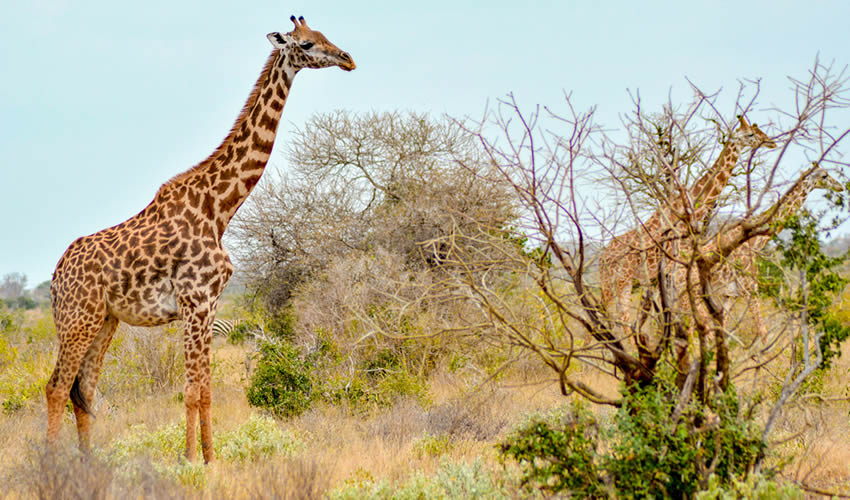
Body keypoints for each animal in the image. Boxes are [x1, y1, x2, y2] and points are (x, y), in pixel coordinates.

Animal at [46, 16, 355, 463]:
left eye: (325, 35)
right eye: (308, 44)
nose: (348, 58)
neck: (219, 208)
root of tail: (55, 276)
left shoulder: (210, 306)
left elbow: (206, 390)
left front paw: (210, 458)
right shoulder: (195, 302)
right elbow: (192, 391)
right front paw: (191, 460)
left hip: (104, 320)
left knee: (83, 389)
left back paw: (87, 464)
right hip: (77, 318)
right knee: (56, 388)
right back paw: (49, 463)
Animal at [599, 116, 776, 325]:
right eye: (750, 134)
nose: (771, 142)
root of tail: (602, 257)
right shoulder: (675, 268)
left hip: (623, 283)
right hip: (617, 281)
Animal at [675, 163, 844, 339]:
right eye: (824, 175)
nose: (841, 186)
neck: (753, 242)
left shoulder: (730, 295)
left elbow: (724, 330)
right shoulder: (750, 289)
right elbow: (762, 331)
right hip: (691, 296)